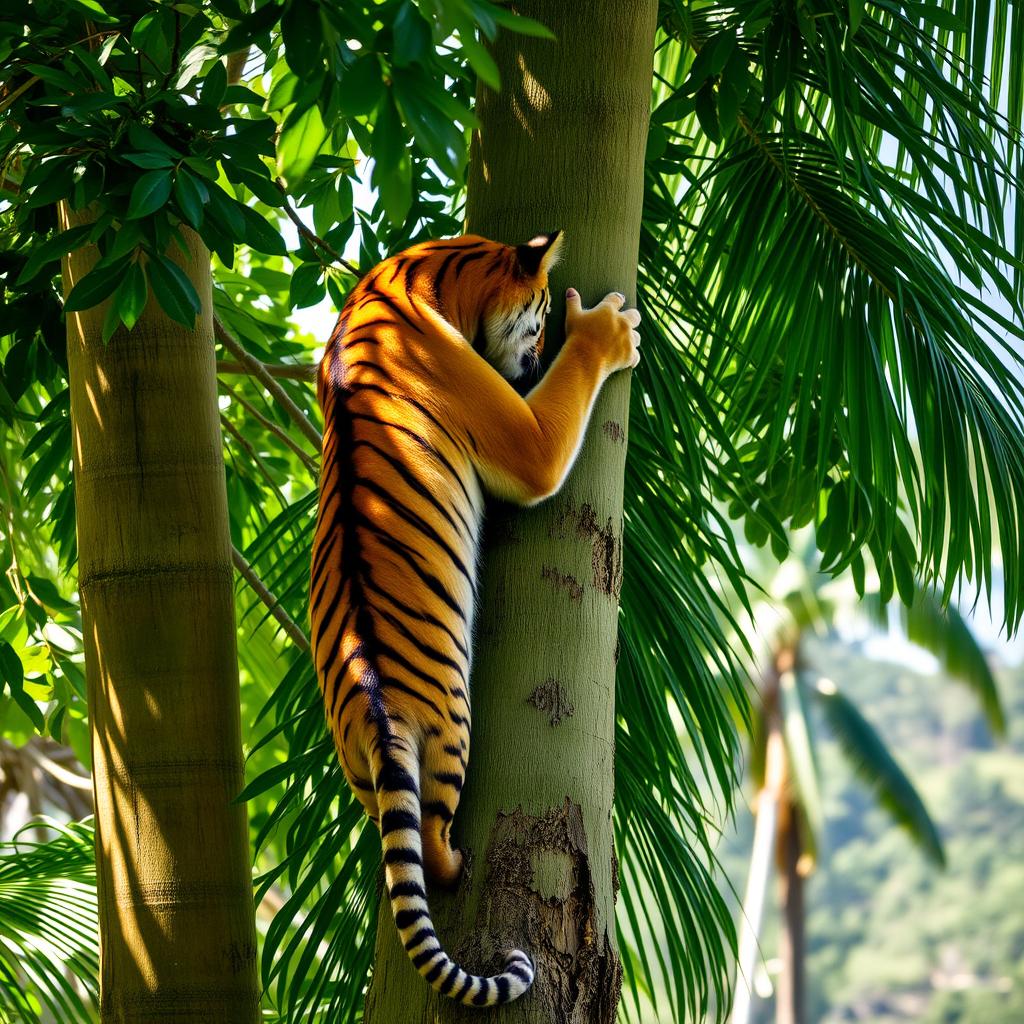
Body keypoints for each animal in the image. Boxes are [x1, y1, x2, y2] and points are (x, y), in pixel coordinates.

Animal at [309, 230, 641, 1007]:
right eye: (543, 319)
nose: (535, 358)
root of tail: (374, 711)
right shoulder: (530, 445)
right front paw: (608, 332)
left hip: (359, 769)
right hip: (450, 728)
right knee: (430, 847)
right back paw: (456, 857)